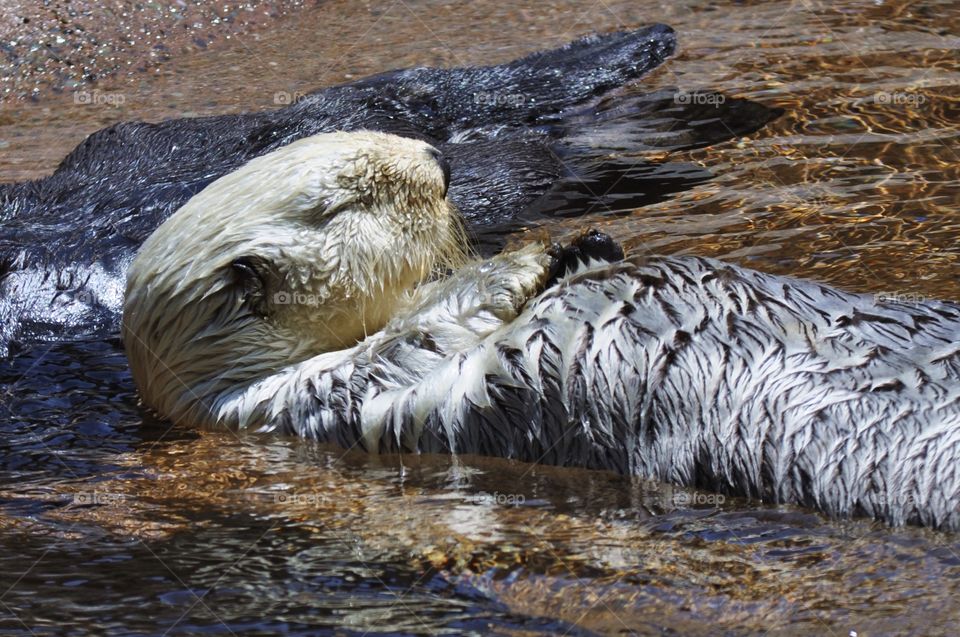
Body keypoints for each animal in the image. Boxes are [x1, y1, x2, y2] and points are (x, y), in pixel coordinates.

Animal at [124, 131, 960, 530]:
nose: (440, 160)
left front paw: (584, 245)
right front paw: (539, 258)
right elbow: (415, 343)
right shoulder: (302, 401)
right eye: (350, 198)